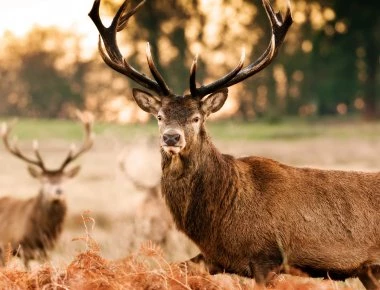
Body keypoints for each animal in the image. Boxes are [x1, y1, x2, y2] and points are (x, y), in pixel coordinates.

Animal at [90, 1, 380, 288]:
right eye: (159, 116)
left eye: (196, 117)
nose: (171, 137)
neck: (218, 220)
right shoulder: (212, 257)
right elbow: (163, 271)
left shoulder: (266, 256)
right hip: (368, 271)